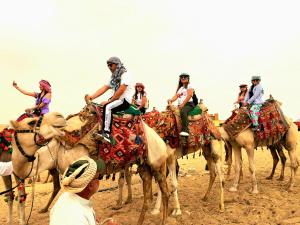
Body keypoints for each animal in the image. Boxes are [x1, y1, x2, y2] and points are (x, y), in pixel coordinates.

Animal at [12, 105, 171, 225]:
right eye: (31, 122)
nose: (58, 115)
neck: (57, 149)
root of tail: (160, 140)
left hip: (158, 163)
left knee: (165, 191)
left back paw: (164, 219)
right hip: (144, 165)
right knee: (147, 194)